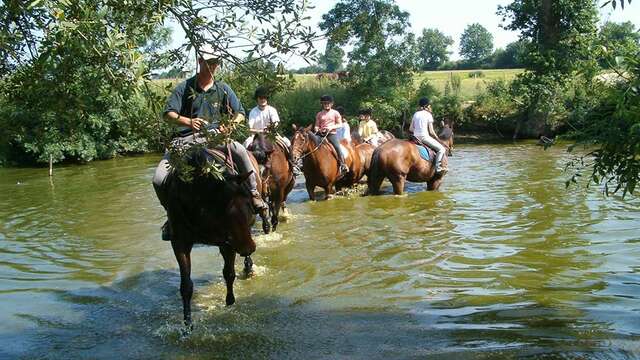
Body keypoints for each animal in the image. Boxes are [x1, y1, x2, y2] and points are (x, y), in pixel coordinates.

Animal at [166, 148, 266, 328]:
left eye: (248, 204)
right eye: (224, 212)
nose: (248, 247)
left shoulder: (228, 242)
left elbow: (229, 274)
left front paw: (230, 303)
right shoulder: (179, 242)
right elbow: (186, 286)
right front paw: (187, 324)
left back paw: (248, 268)